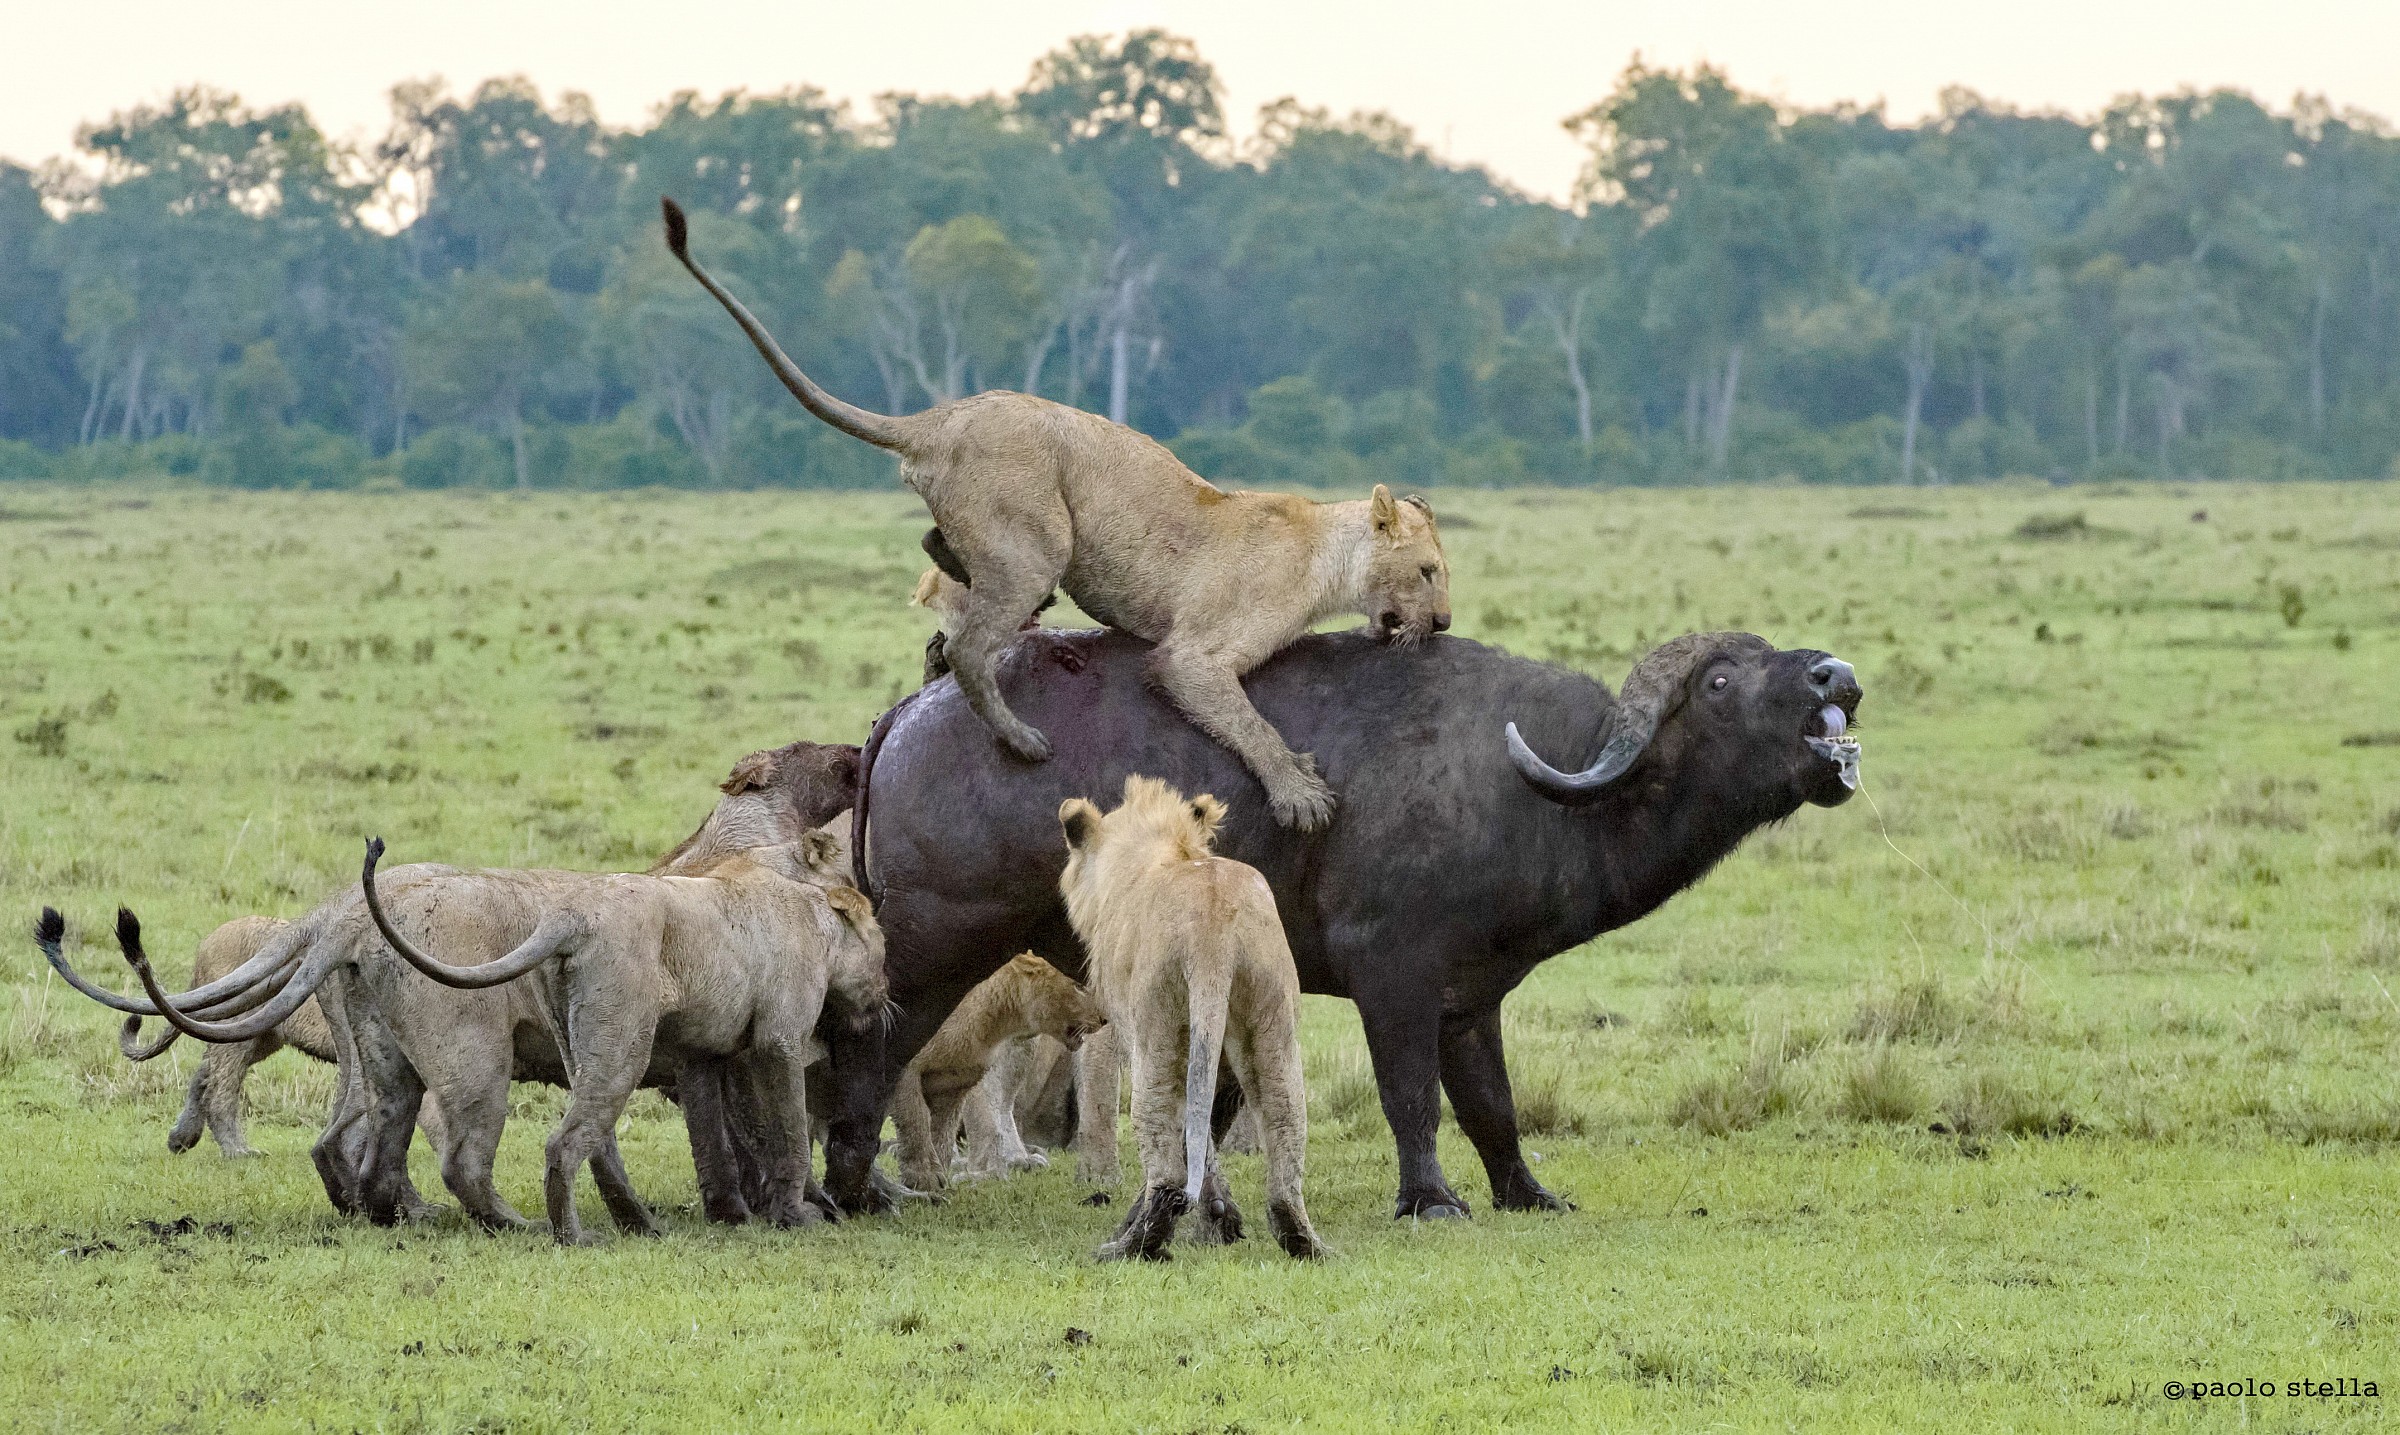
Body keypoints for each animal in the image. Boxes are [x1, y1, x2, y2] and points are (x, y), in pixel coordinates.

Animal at [821, 626, 1862, 1220]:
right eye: (1721, 681)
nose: (1836, 676)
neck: (1533, 788)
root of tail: (913, 709)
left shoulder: (1469, 997)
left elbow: (1491, 1105)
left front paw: (1524, 1193)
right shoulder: (1392, 976)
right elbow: (1412, 1097)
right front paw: (1430, 1200)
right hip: (929, 954)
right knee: (866, 1058)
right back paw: (854, 1191)